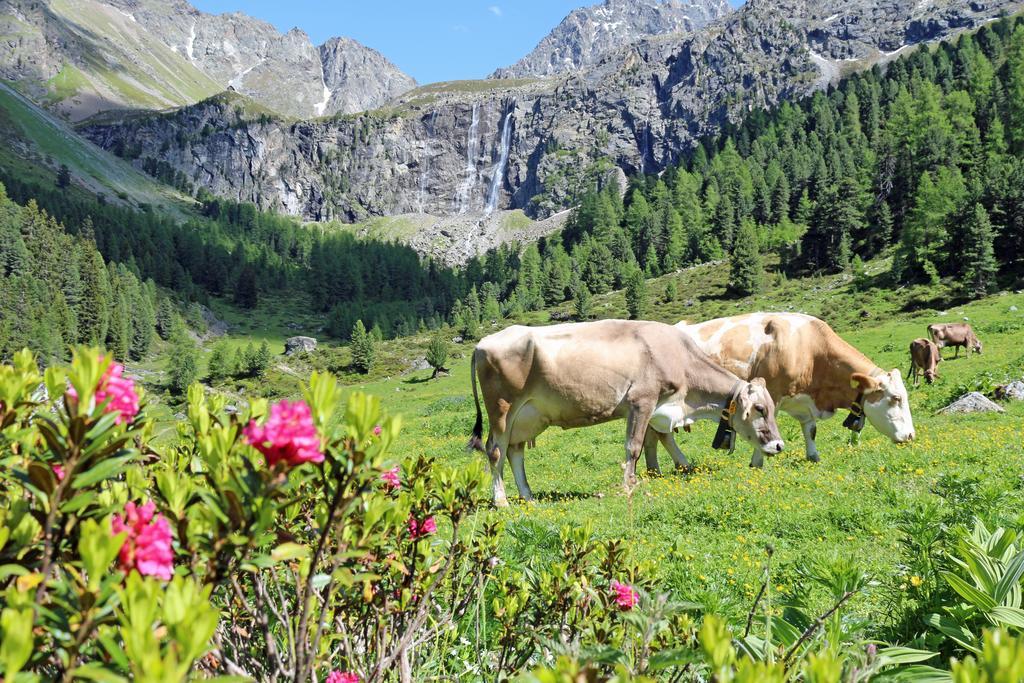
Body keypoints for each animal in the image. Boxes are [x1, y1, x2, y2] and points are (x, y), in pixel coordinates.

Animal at [468, 321, 782, 507]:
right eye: (760, 409)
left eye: (771, 407)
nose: (778, 445)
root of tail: (482, 343)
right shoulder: (641, 401)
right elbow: (634, 446)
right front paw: (629, 484)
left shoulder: (659, 405)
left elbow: (660, 439)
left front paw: (676, 466)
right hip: (502, 410)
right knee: (495, 450)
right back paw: (501, 500)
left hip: (527, 417)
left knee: (515, 452)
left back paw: (528, 495)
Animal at [659, 313, 917, 466]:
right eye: (896, 398)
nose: (911, 436)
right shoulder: (770, 395)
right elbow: (763, 426)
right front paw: (758, 461)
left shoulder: (804, 402)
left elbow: (810, 431)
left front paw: (813, 456)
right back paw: (682, 463)